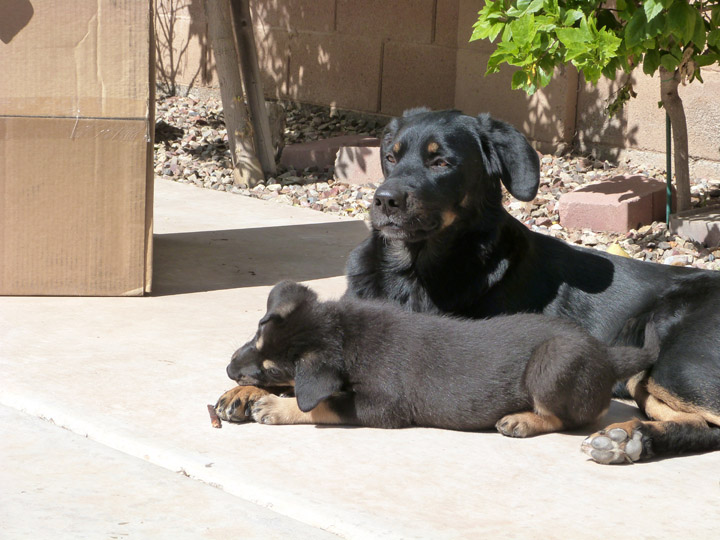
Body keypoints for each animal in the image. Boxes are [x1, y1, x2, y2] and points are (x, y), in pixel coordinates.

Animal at [222, 280, 660, 458]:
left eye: (272, 369)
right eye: (256, 337)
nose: (228, 369)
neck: (347, 334)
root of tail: (607, 356)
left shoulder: (383, 407)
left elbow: (322, 403)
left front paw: (274, 406)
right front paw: (245, 394)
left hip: (553, 363)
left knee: (569, 417)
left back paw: (522, 420)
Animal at [342, 107, 720, 462]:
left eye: (441, 162)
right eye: (390, 157)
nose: (384, 200)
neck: (413, 271)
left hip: (675, 362)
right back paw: (630, 438)